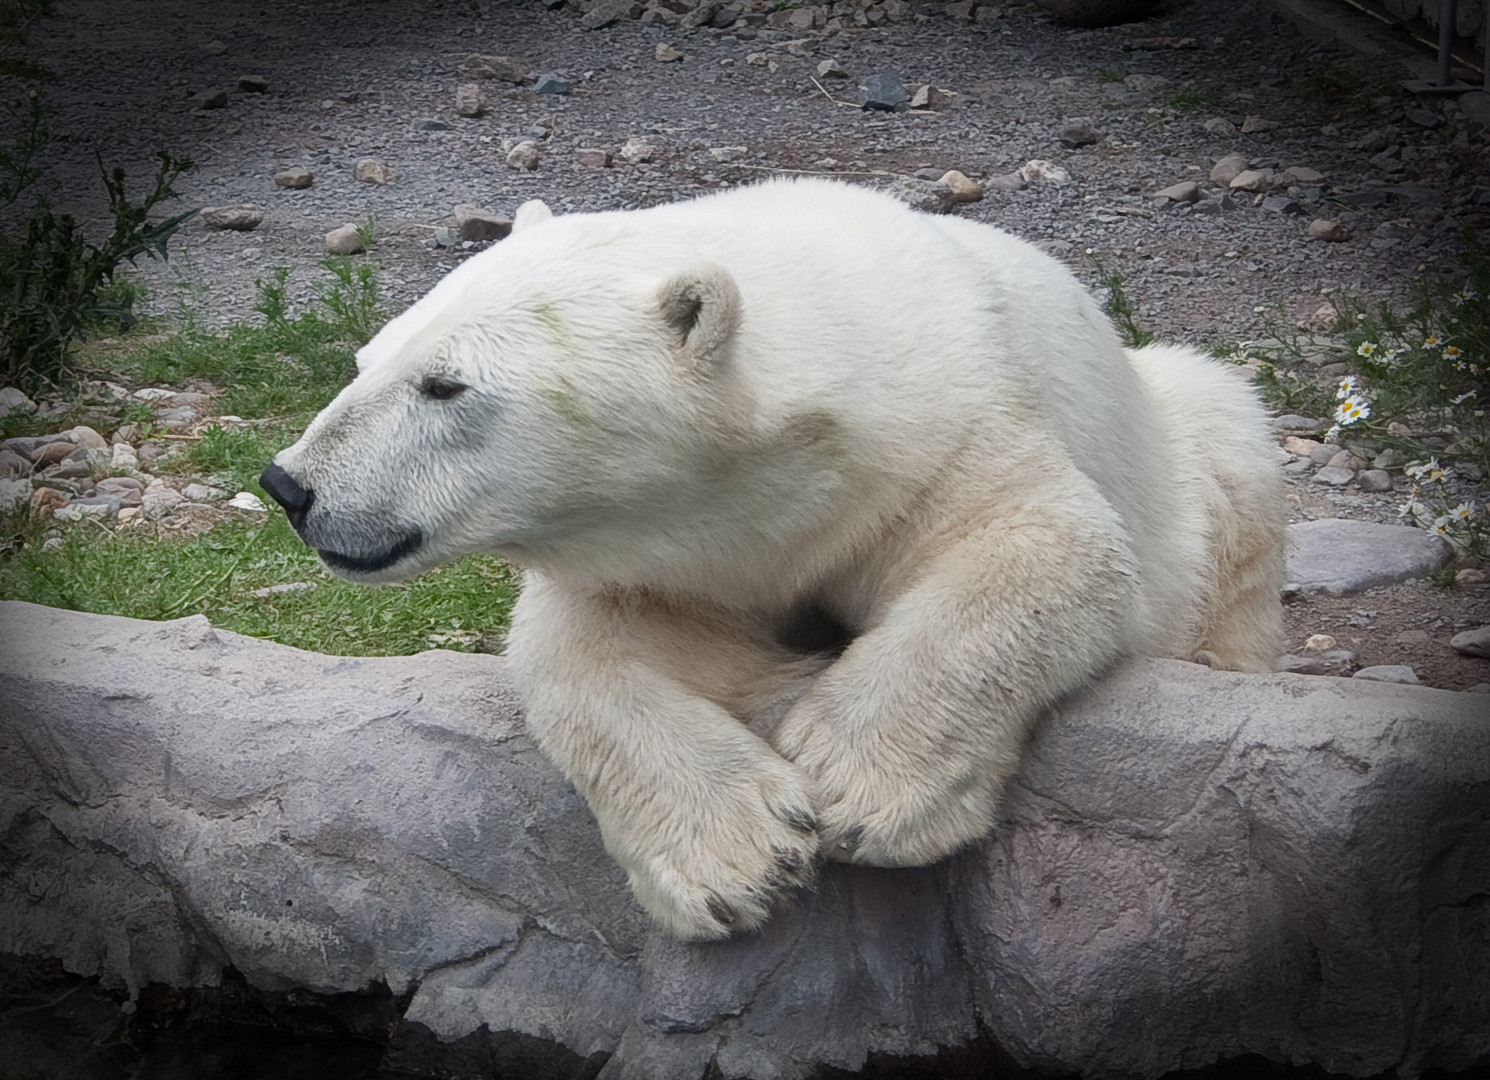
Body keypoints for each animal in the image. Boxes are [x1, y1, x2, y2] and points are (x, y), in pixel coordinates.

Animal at [262, 177, 1287, 935]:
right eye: (367, 359)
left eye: (445, 385)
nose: (289, 486)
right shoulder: (678, 553)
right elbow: (578, 648)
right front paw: (739, 861)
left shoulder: (945, 436)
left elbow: (1045, 544)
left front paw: (861, 787)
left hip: (1186, 435)